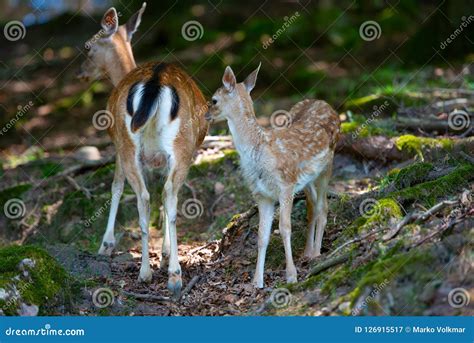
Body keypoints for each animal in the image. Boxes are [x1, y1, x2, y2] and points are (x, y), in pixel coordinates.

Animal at [206, 63, 338, 288]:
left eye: (214, 99)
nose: (205, 114)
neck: (261, 151)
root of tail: (325, 103)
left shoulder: (285, 185)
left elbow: (284, 227)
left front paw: (291, 275)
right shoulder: (262, 194)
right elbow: (262, 235)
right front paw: (257, 281)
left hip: (327, 165)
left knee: (323, 207)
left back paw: (317, 253)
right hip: (306, 179)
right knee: (312, 206)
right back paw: (307, 252)